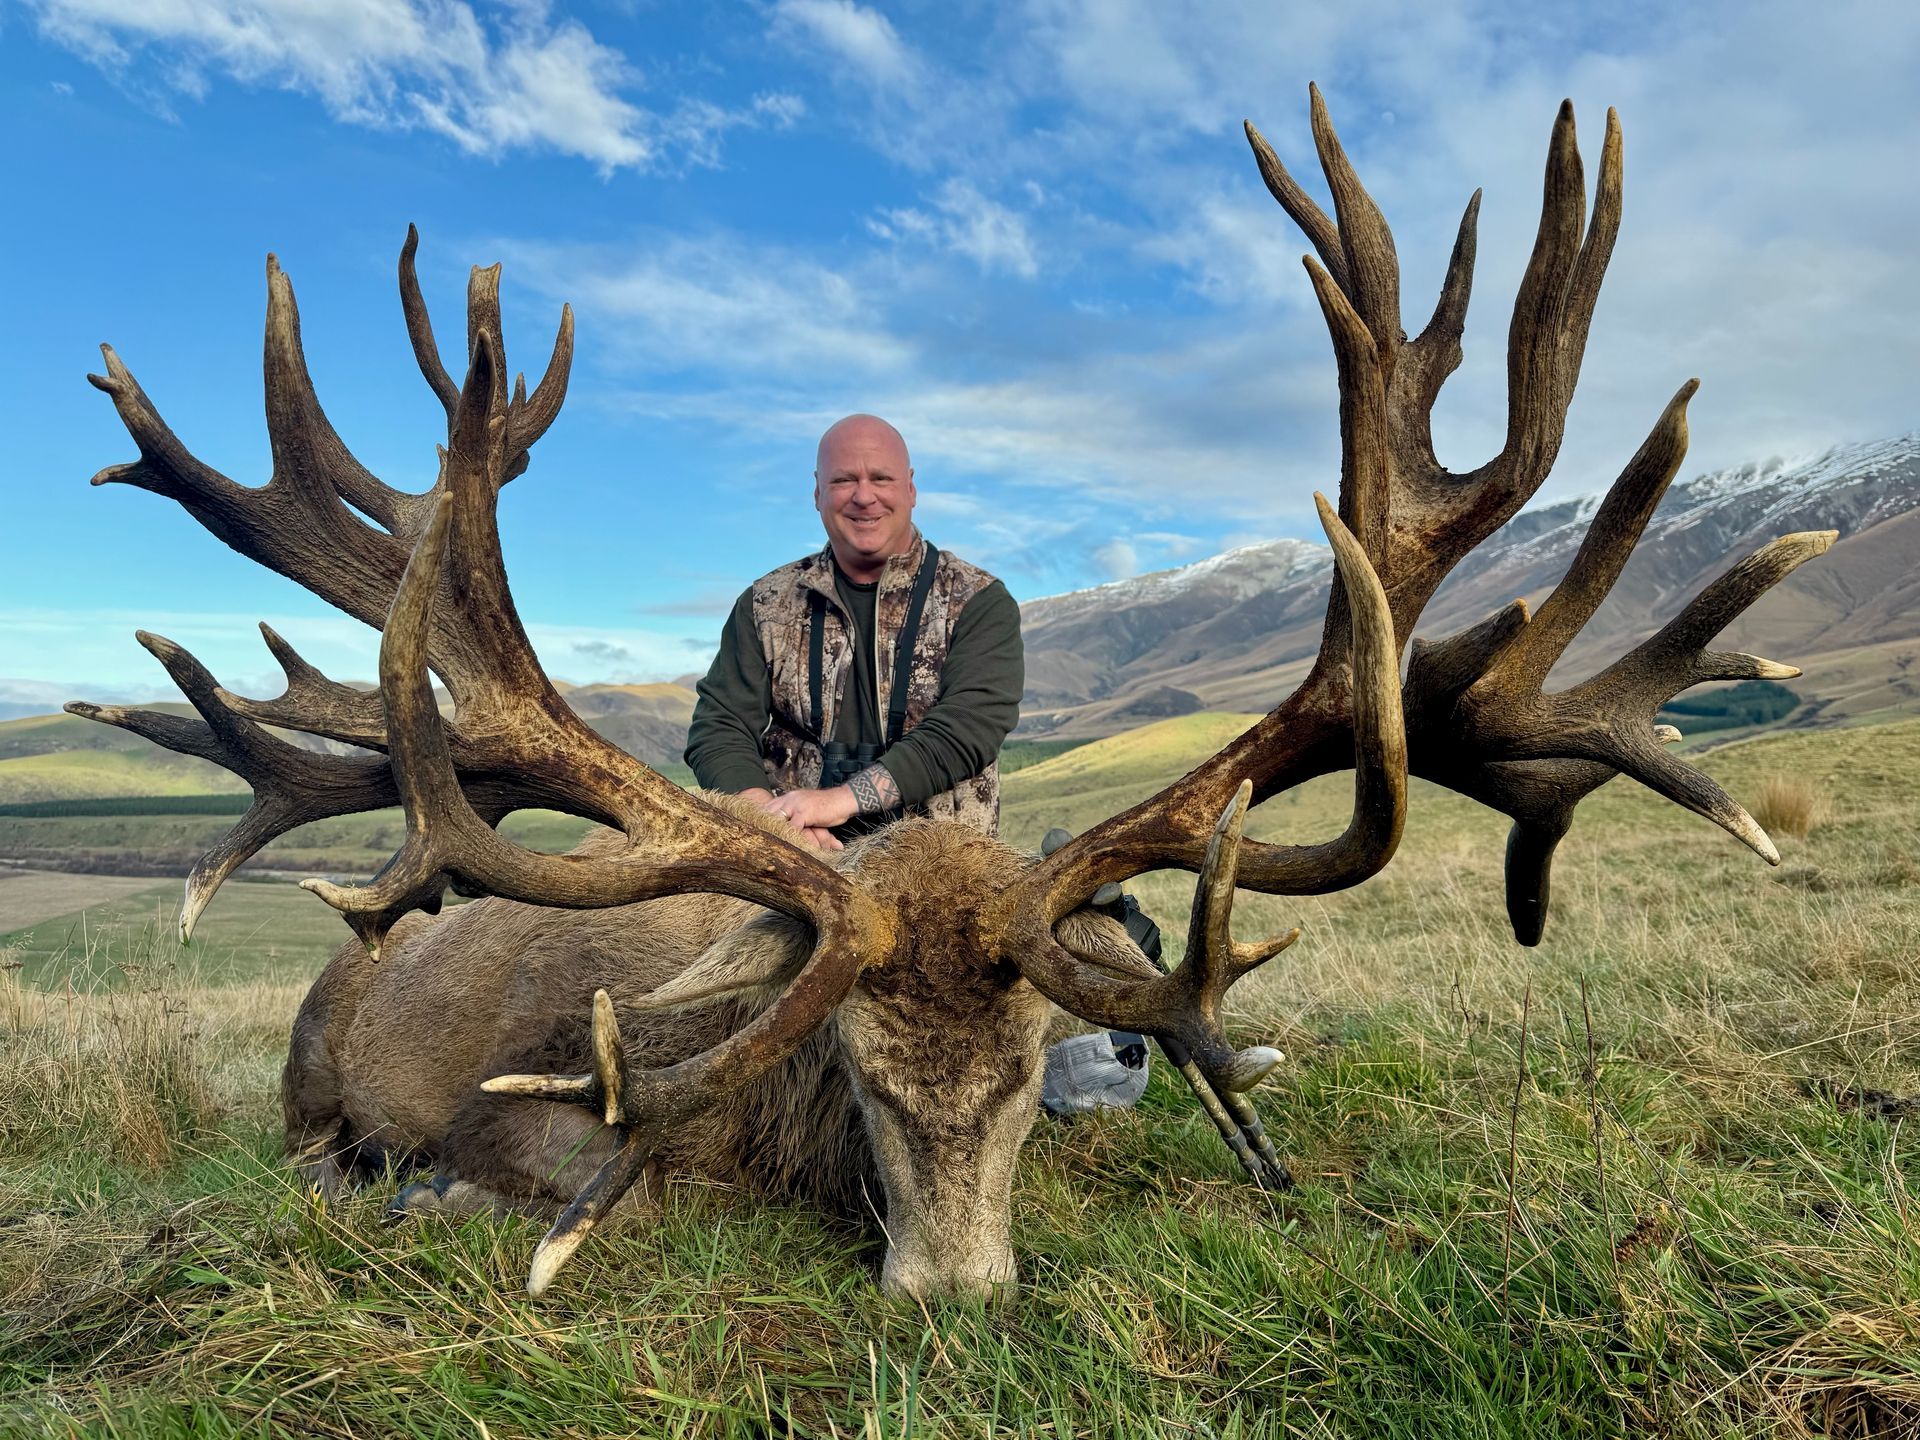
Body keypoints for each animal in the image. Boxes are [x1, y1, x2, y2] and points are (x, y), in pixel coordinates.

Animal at [69, 89, 1832, 1301]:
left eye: (1035, 1073)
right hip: (308, 1062)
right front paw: (453, 1200)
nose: (954, 1290)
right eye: (850, 1068)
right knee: (307, 1145)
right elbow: (599, 1177)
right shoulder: (531, 1110)